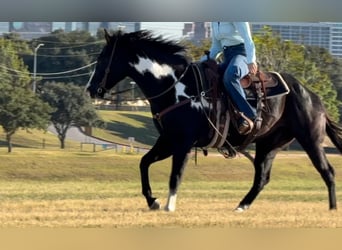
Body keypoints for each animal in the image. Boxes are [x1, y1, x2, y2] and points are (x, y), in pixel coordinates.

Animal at [87, 30, 340, 212]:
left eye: (103, 59)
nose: (91, 89)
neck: (175, 86)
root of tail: (312, 95)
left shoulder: (183, 143)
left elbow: (175, 175)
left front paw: (169, 205)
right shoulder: (167, 140)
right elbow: (144, 162)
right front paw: (153, 201)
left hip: (310, 139)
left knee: (327, 171)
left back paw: (332, 209)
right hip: (268, 144)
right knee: (262, 178)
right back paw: (241, 206)